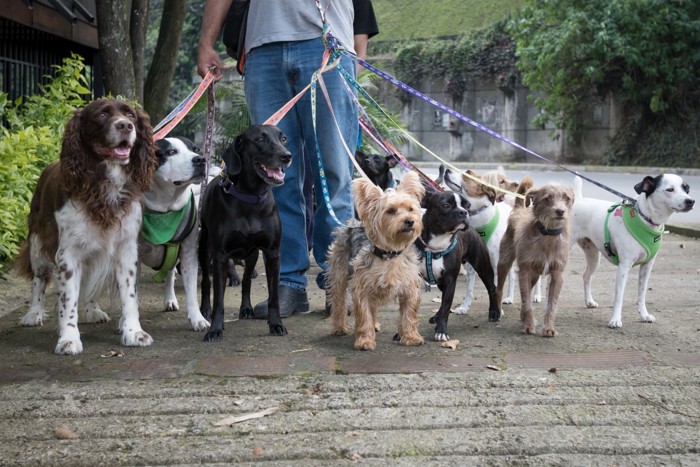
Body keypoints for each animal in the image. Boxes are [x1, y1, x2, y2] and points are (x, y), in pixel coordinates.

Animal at [139, 136, 211, 332]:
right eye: (171, 152)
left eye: (196, 149)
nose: (201, 160)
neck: (165, 206)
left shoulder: (188, 254)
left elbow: (191, 290)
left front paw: (197, 318)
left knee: (170, 273)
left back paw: (170, 299)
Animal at [198, 126, 292, 342]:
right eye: (260, 139)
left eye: (283, 139)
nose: (287, 156)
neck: (250, 197)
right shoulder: (221, 256)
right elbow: (219, 299)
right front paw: (215, 329)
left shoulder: (272, 253)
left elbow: (273, 296)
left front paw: (276, 324)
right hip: (205, 249)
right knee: (207, 282)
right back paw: (204, 310)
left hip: (252, 255)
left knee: (247, 280)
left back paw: (246, 308)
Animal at [328, 172, 426, 352]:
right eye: (391, 211)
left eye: (410, 209)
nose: (410, 221)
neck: (390, 253)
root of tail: (353, 224)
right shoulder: (363, 289)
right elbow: (364, 315)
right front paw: (365, 341)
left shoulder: (409, 288)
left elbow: (408, 314)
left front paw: (411, 337)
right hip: (339, 272)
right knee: (338, 300)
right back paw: (339, 327)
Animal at [418, 188, 500, 342]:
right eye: (445, 205)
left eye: (467, 205)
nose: (464, 212)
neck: (437, 244)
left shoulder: (450, 279)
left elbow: (446, 306)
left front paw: (441, 331)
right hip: (441, 281)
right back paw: (436, 316)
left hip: (482, 267)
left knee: (492, 288)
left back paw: (494, 312)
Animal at [492, 178, 576, 336]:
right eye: (547, 198)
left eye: (567, 198)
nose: (560, 211)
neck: (547, 235)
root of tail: (519, 208)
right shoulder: (524, 271)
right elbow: (526, 302)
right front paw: (528, 326)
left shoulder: (557, 275)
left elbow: (550, 305)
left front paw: (548, 328)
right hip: (504, 263)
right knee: (499, 289)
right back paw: (497, 312)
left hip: (535, 274)